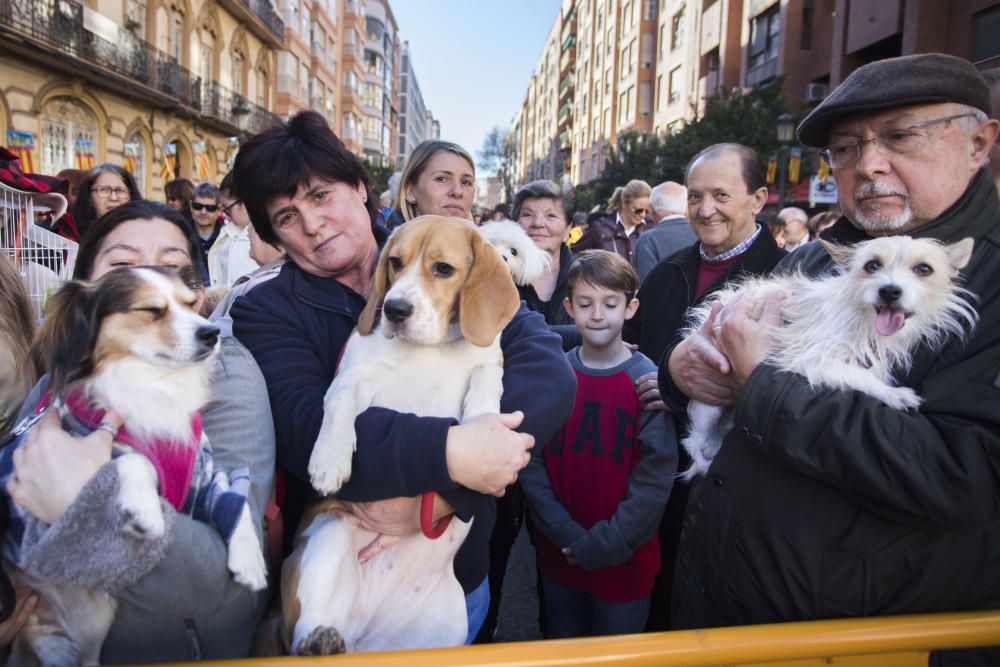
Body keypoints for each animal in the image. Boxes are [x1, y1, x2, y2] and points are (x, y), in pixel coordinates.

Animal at [1, 268, 266, 667]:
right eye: (150, 310)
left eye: (190, 303)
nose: (211, 333)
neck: (153, 383)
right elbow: (133, 458)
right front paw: (147, 512)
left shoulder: (203, 478)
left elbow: (236, 499)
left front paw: (250, 560)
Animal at [278, 217, 520, 656]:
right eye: (395, 262)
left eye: (443, 269)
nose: (394, 309)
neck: (432, 350)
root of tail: (365, 635)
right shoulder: (353, 376)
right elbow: (338, 403)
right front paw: (329, 460)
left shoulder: (490, 360)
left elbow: (486, 378)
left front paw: (482, 417)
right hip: (329, 535)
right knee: (301, 635)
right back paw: (318, 642)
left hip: (447, 623)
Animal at [680, 235, 976, 480]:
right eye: (872, 265)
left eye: (924, 269)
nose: (890, 290)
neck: (861, 319)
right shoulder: (807, 359)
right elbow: (857, 375)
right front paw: (894, 395)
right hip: (709, 407)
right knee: (692, 442)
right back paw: (704, 465)